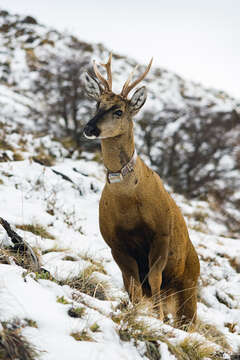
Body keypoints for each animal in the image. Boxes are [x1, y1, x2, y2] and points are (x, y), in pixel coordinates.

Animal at [82, 52, 201, 326]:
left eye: (118, 110)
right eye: (97, 104)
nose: (89, 128)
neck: (128, 200)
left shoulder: (161, 233)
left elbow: (154, 278)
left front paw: (157, 318)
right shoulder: (116, 243)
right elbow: (133, 285)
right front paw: (136, 312)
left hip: (189, 286)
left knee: (189, 320)